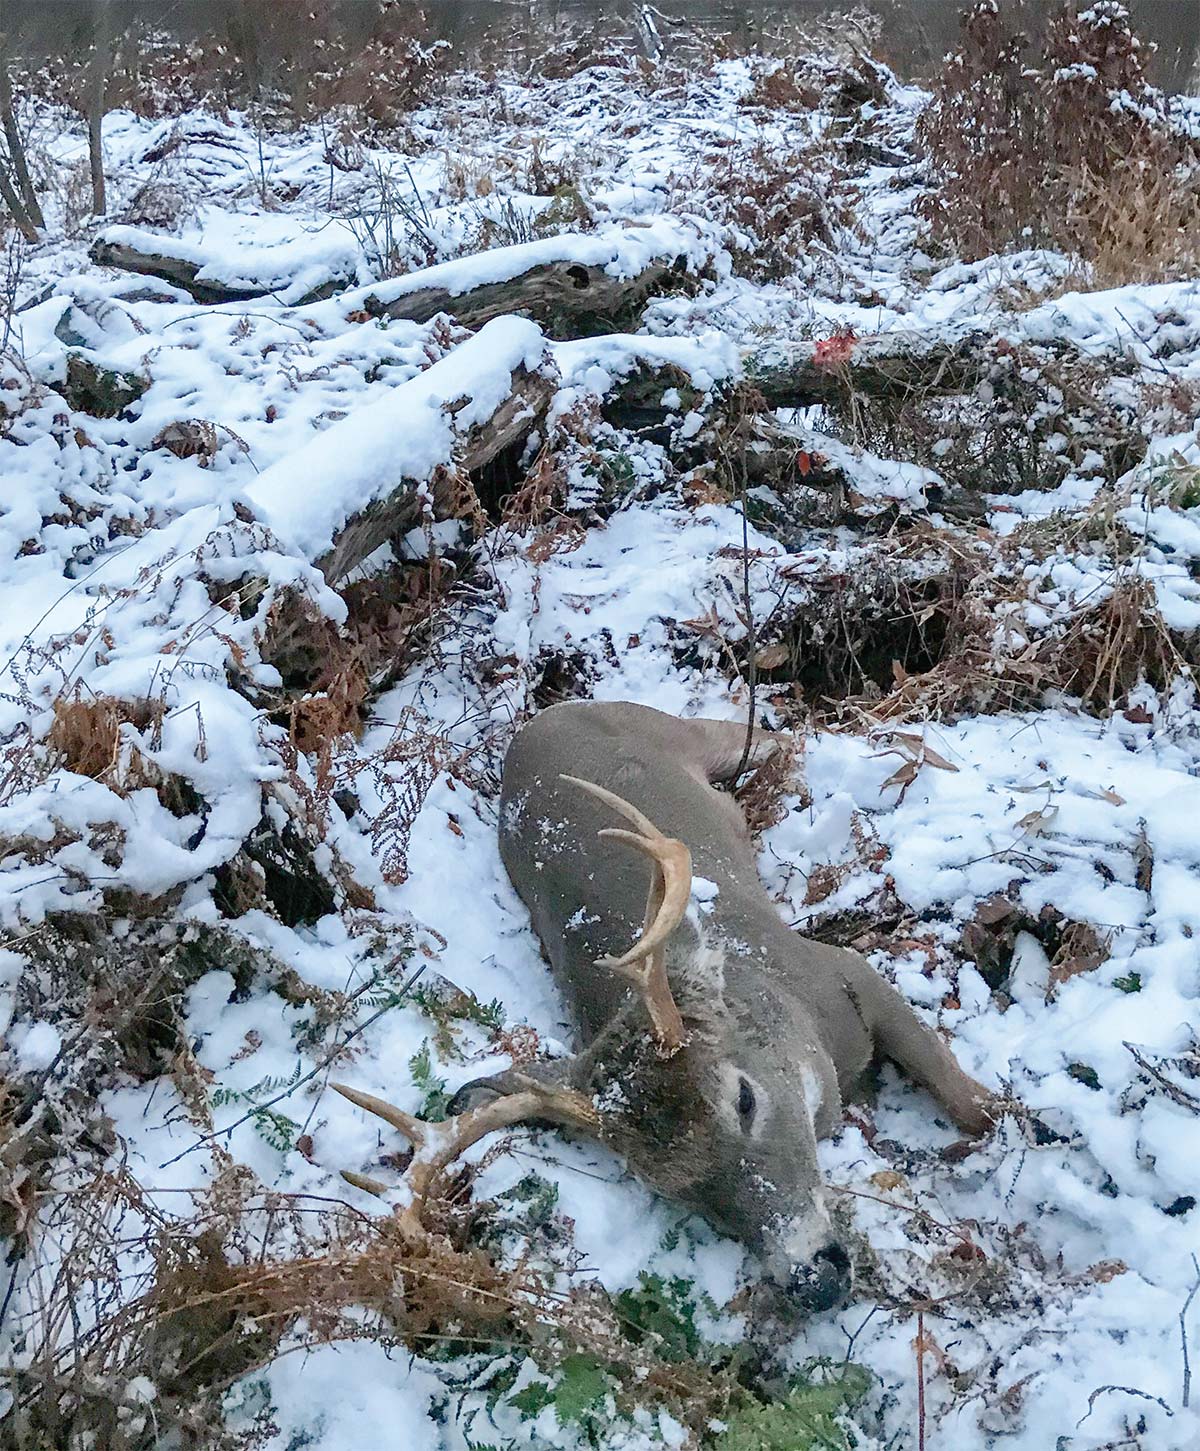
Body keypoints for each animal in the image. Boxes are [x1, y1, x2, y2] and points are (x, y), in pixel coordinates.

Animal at [333, 700, 998, 1316]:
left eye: (744, 1098)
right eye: (677, 1188)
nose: (814, 1281)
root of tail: (542, 717)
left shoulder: (841, 970)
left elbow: (961, 1097)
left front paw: (1008, 1123)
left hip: (678, 729)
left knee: (777, 737)